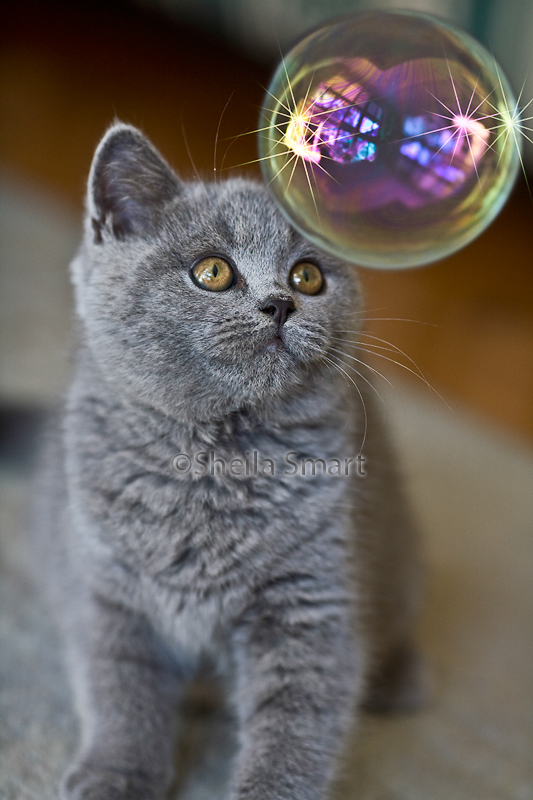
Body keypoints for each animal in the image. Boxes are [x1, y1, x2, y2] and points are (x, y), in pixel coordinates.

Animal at [38, 123, 424, 800]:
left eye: (307, 276)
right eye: (212, 272)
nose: (281, 304)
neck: (216, 464)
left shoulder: (310, 604)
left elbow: (297, 723)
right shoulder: (104, 586)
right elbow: (119, 689)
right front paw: (115, 774)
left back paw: (398, 683)